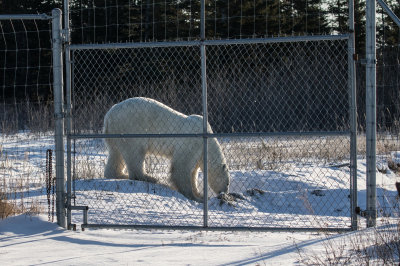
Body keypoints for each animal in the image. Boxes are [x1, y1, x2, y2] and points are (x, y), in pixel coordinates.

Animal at [102, 97, 231, 202]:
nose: (224, 193)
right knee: (135, 153)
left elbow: (193, 171)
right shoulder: (192, 142)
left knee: (116, 154)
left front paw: (199, 193)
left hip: (115, 134)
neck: (207, 141)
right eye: (227, 183)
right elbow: (181, 167)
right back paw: (150, 177)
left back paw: (119, 175)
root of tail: (108, 116)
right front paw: (195, 197)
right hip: (130, 128)